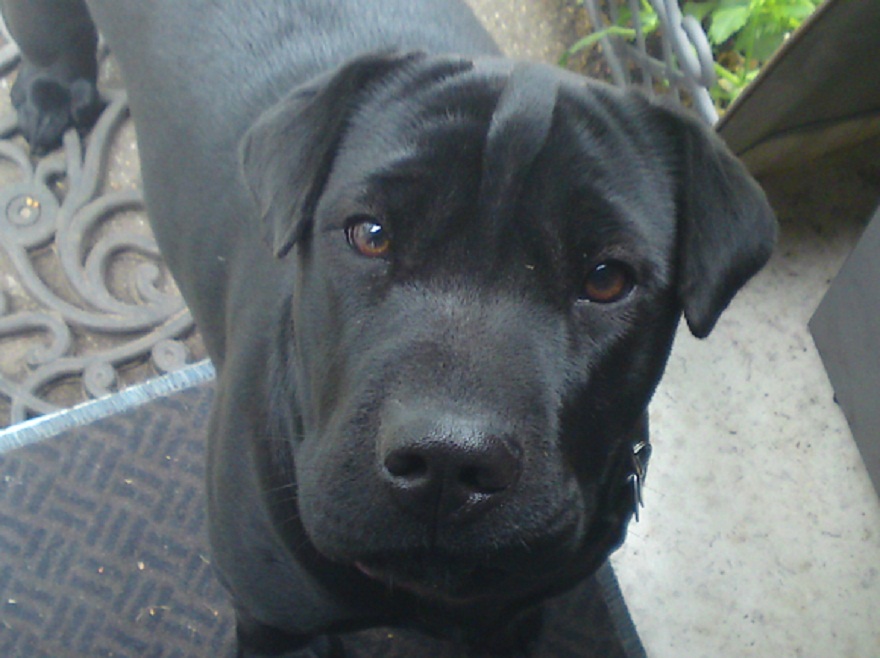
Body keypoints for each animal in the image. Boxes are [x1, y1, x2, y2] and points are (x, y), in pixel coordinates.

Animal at [3, 2, 776, 652]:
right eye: (370, 234)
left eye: (607, 278)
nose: (448, 462)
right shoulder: (272, 621)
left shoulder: (516, 615)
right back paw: (51, 96)